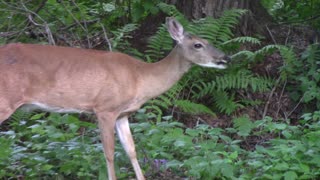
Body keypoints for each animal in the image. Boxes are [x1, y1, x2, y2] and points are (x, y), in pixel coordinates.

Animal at [0, 17, 230, 180]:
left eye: (208, 41)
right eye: (198, 45)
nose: (226, 58)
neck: (139, 77)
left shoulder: (123, 114)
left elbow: (131, 150)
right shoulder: (105, 108)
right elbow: (109, 153)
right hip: (5, 101)